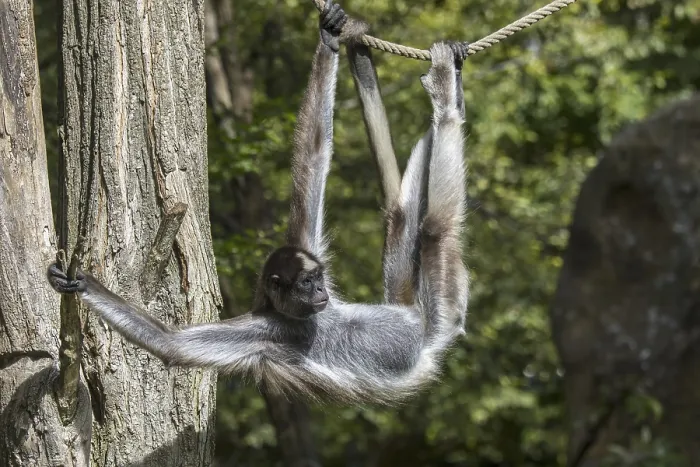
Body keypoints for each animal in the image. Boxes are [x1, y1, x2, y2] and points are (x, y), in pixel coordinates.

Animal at [47, 0, 470, 405]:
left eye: (318, 280)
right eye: (305, 285)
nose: (320, 293)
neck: (302, 320)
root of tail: (424, 333)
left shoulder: (305, 257)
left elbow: (314, 153)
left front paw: (328, 35)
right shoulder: (264, 333)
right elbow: (170, 343)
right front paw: (82, 285)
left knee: (402, 216)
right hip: (440, 314)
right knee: (435, 226)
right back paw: (446, 97)